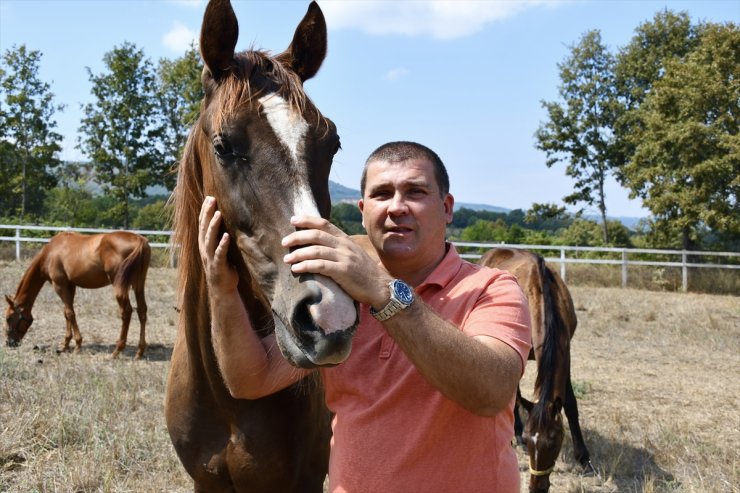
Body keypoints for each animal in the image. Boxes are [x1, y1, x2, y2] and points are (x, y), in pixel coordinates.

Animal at [4, 231, 150, 358]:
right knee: (142, 310)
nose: (9, 343)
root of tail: (139, 240)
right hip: (139, 285)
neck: (50, 252)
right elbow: (67, 312)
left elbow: (70, 313)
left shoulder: (59, 285)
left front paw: (78, 345)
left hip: (119, 285)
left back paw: (117, 351)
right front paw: (65, 345)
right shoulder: (70, 285)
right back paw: (139, 352)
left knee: (126, 312)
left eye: (9, 318)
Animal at [480, 248, 596, 490]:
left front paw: (584, 459)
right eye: (530, 438)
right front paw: (518, 435)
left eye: (554, 441)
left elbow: (571, 404)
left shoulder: (566, 351)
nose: (537, 488)